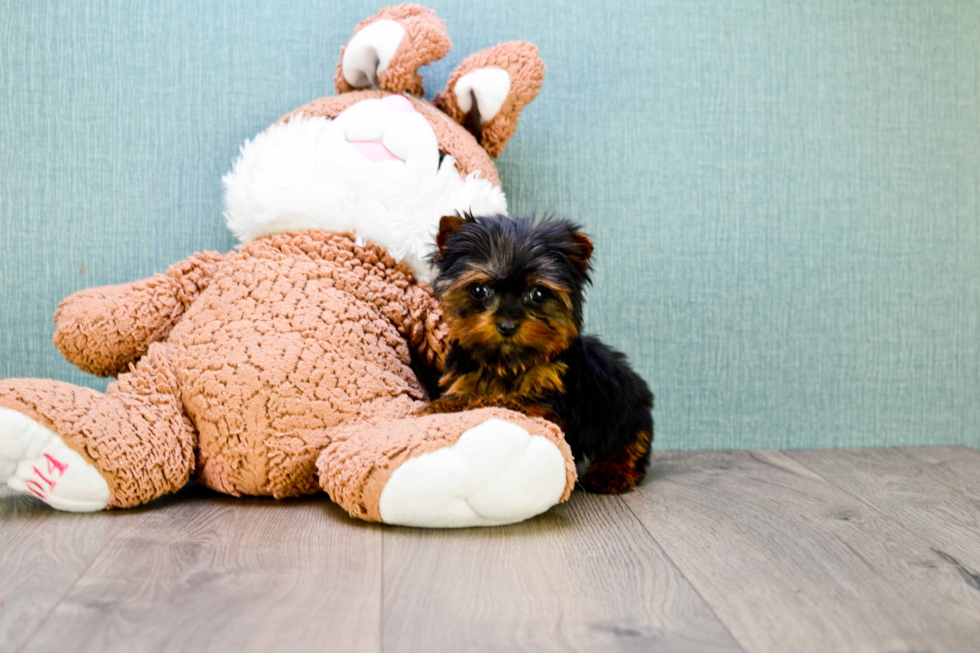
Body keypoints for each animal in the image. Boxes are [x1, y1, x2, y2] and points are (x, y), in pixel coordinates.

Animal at [424, 214, 656, 494]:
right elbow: (464, 395)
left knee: (629, 443)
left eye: (538, 294)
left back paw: (611, 473)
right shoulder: (465, 377)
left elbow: (507, 403)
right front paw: (439, 406)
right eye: (479, 290)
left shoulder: (548, 399)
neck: (507, 362)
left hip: (625, 410)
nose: (507, 325)